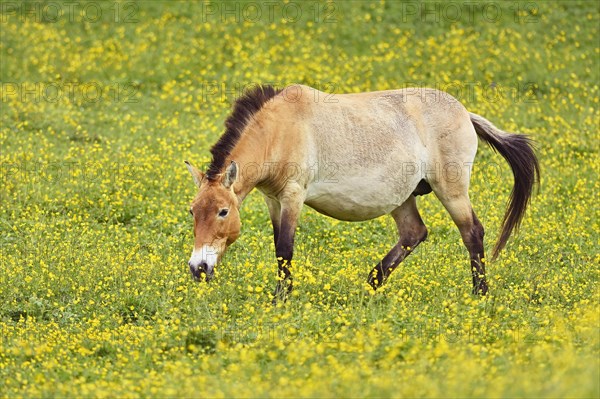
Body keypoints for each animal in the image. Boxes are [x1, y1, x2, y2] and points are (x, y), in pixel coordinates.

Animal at [185, 86, 540, 302]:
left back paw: (480, 294)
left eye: (223, 212)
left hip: (451, 191)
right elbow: (278, 249)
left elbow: (285, 248)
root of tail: (465, 113)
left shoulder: (293, 196)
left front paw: (281, 299)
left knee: (472, 232)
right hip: (402, 198)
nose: (198, 268)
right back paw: (371, 285)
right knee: (414, 233)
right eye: (192, 211)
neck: (281, 130)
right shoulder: (273, 200)